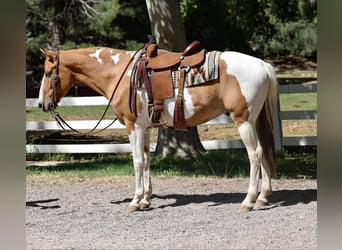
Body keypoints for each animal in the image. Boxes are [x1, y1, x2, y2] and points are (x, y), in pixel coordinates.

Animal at [38, 46, 278, 213]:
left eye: (49, 73)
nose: (41, 104)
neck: (120, 73)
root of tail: (262, 65)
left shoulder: (133, 126)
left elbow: (137, 161)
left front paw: (135, 201)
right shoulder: (145, 128)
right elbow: (146, 159)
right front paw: (145, 199)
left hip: (243, 120)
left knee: (255, 154)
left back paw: (248, 201)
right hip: (254, 120)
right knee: (264, 151)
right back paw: (262, 197)